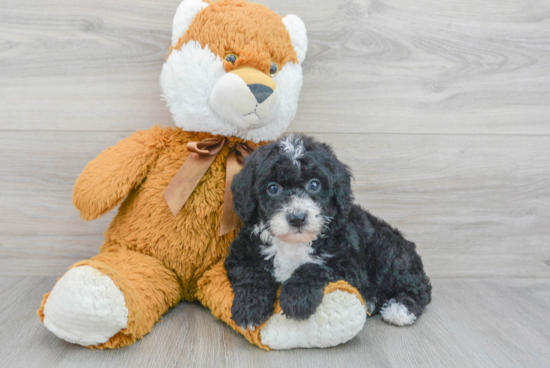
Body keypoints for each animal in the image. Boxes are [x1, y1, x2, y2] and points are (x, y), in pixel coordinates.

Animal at [226, 135, 434, 330]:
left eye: (314, 185)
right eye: (272, 188)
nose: (297, 218)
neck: (294, 243)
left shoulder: (348, 264)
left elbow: (315, 267)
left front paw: (296, 299)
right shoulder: (241, 254)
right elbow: (252, 274)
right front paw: (249, 307)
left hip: (389, 253)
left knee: (419, 287)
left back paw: (400, 309)